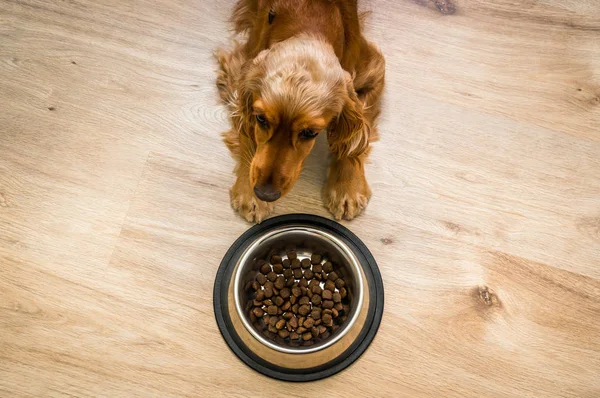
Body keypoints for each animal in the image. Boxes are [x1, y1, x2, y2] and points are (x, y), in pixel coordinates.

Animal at [217, 0, 384, 222]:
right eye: (261, 119)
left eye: (310, 133)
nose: (264, 193)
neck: (309, 27)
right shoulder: (239, 69)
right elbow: (246, 132)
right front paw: (249, 193)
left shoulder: (373, 70)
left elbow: (356, 137)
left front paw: (346, 188)